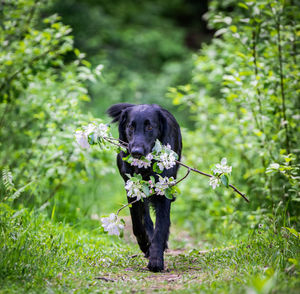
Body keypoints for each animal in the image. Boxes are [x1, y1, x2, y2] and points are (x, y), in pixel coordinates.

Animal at [108, 103, 183, 272]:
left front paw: (156, 259)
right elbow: (138, 223)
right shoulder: (132, 188)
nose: (136, 152)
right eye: (130, 126)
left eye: (150, 127)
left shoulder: (163, 190)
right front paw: (145, 245)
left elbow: (161, 226)